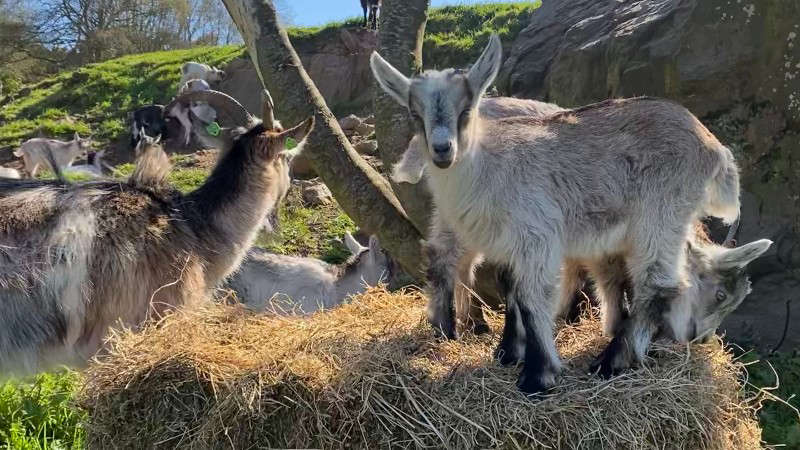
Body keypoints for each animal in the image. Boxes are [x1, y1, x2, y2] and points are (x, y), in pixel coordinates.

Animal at [372, 34, 742, 394]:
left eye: (465, 109)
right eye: (414, 114)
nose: (442, 150)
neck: (493, 167)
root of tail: (713, 147)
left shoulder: (538, 234)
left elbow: (534, 297)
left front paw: (537, 375)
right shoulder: (515, 240)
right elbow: (519, 291)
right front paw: (514, 355)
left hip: (662, 211)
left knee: (657, 285)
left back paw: (611, 362)